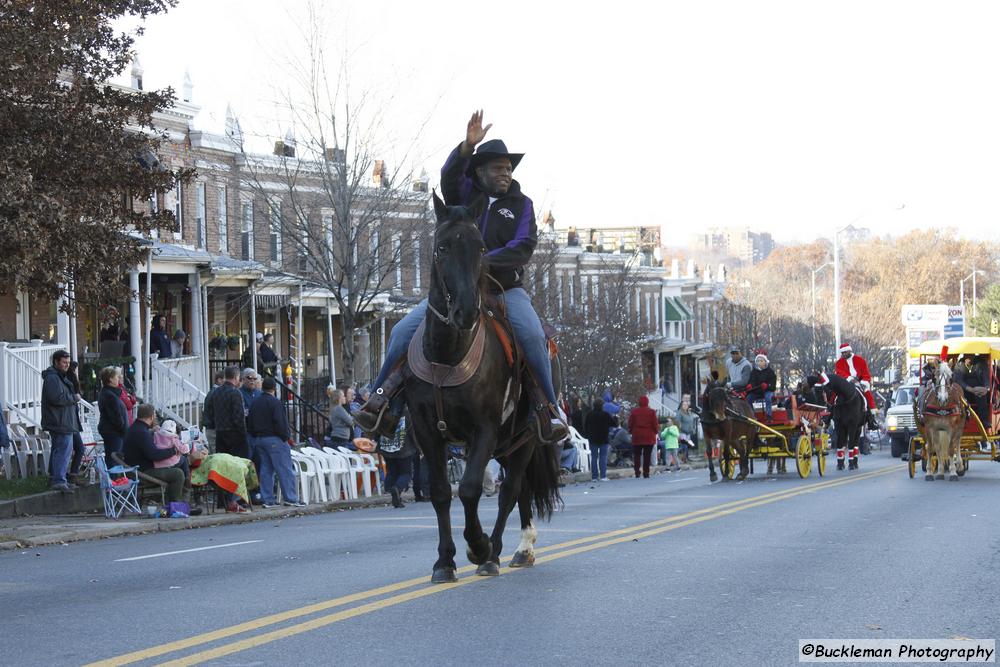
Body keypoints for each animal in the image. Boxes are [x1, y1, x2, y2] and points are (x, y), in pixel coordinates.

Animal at [404, 193, 564, 584]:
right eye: (441, 247)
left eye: (480, 248)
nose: (466, 311)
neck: (448, 354)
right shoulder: (426, 431)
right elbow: (441, 492)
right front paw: (444, 561)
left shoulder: (485, 428)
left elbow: (470, 488)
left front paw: (477, 546)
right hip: (510, 442)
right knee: (520, 491)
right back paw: (519, 549)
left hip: (525, 438)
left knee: (511, 491)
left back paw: (499, 552)